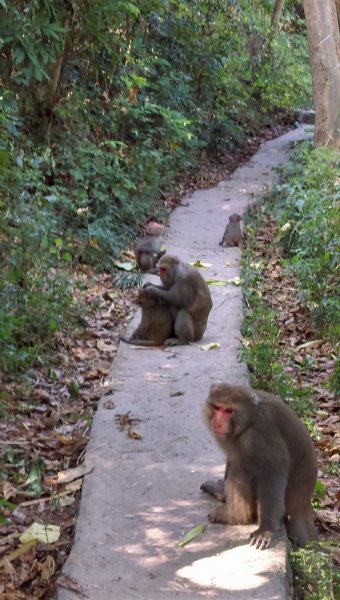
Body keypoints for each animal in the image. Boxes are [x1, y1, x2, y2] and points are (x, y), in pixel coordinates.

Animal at [201, 384, 318, 548]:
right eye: (217, 408)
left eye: (229, 411)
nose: (218, 423)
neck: (250, 419)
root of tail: (302, 505)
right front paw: (221, 490)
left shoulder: (261, 432)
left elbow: (273, 473)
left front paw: (265, 529)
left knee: (241, 469)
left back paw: (234, 516)